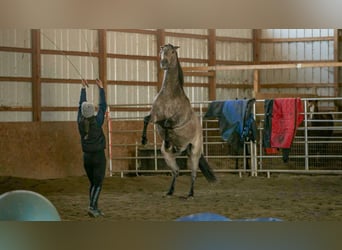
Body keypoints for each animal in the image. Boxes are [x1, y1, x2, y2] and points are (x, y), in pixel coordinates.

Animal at [141, 44, 216, 198]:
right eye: (161, 51)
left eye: (172, 51)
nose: (163, 63)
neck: (170, 95)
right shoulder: (155, 115)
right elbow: (147, 120)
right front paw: (144, 140)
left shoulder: (177, 120)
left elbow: (166, 123)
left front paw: (166, 139)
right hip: (168, 156)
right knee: (176, 171)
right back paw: (170, 191)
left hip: (194, 153)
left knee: (193, 173)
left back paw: (190, 194)